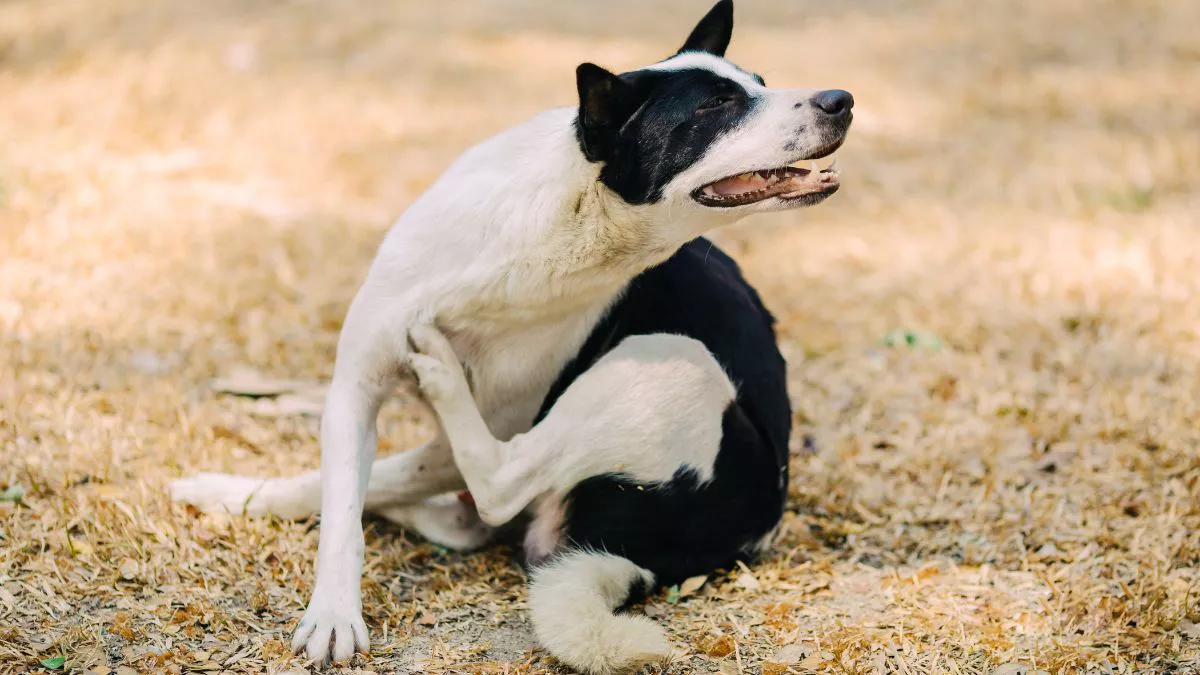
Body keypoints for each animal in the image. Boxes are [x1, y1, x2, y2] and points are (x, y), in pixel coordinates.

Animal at [171, 2, 854, 667]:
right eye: (717, 105)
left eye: (757, 84)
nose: (841, 99)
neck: (562, 223)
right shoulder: (355, 386)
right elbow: (342, 505)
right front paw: (329, 606)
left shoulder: (487, 423)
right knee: (454, 509)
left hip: (670, 358)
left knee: (496, 485)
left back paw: (438, 375)